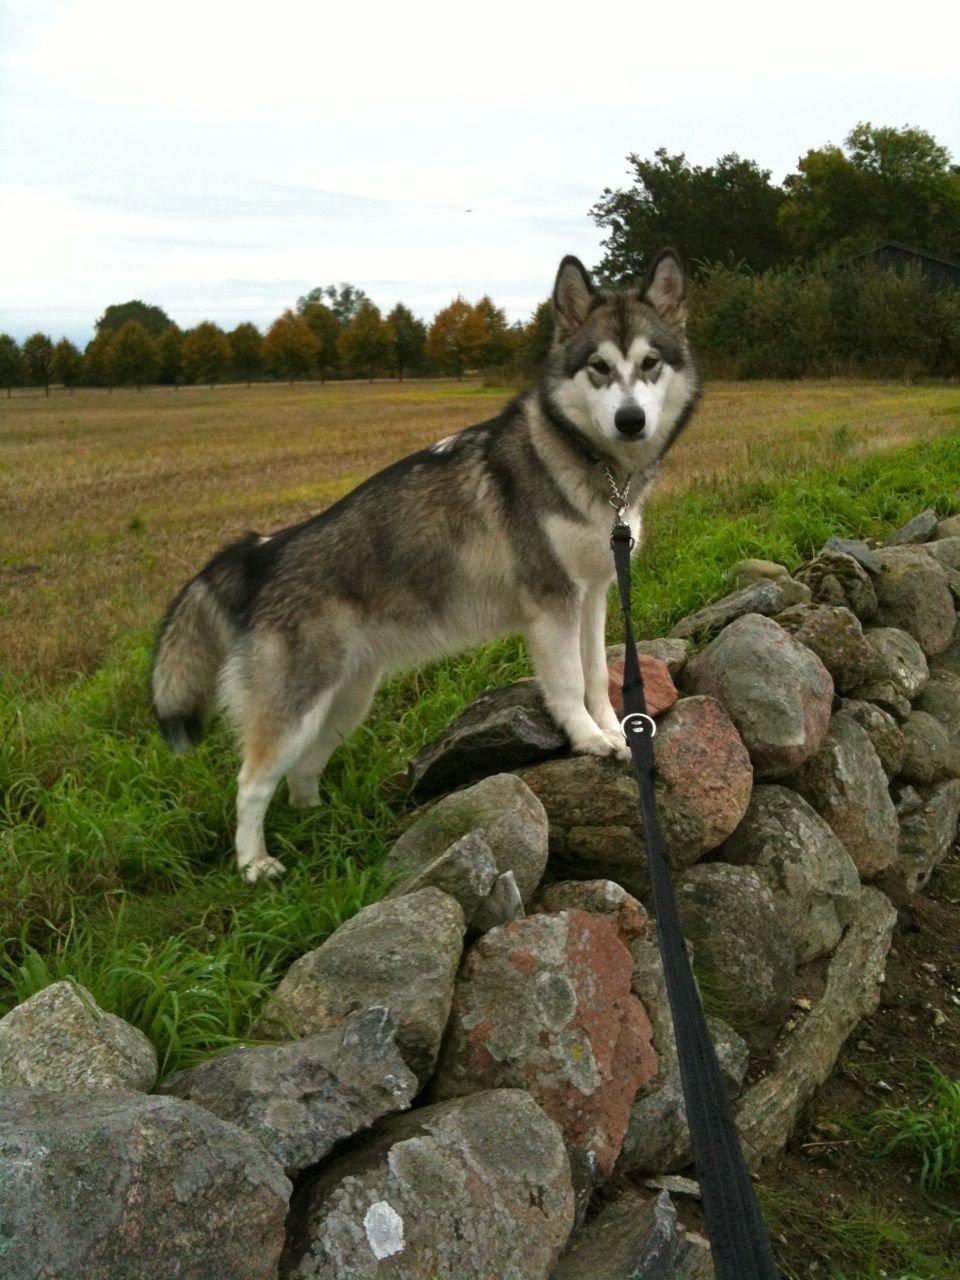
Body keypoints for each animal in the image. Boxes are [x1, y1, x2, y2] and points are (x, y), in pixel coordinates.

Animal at [154, 249, 701, 880]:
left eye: (650, 363)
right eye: (599, 367)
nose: (631, 420)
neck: (591, 466)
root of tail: (263, 550)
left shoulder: (592, 596)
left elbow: (595, 675)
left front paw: (613, 731)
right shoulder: (551, 604)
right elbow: (567, 683)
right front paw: (587, 740)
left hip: (345, 701)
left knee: (301, 772)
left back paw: (323, 822)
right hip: (296, 705)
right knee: (251, 783)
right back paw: (255, 865)